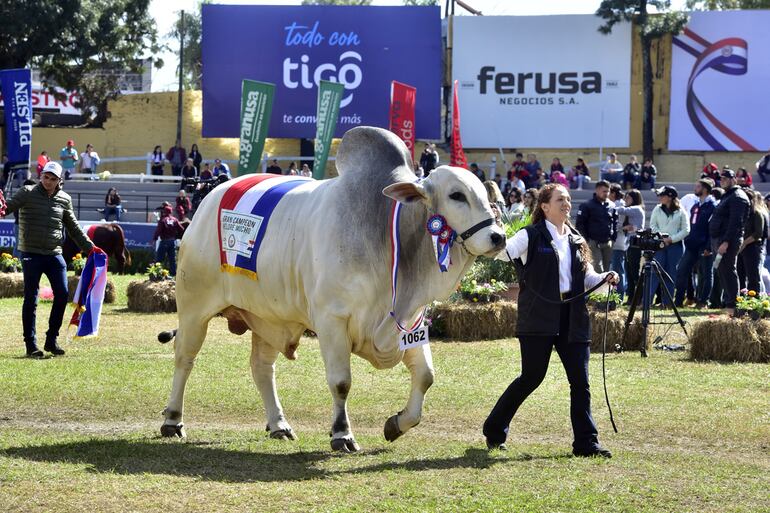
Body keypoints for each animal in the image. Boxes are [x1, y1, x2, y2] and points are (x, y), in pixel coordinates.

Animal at [156, 126, 504, 450]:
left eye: (487, 197)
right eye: (456, 195)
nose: (498, 237)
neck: (387, 234)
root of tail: (211, 195)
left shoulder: (409, 322)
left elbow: (426, 376)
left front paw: (397, 424)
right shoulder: (332, 320)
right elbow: (341, 383)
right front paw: (342, 433)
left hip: (268, 316)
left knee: (262, 368)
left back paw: (279, 424)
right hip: (194, 306)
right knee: (184, 357)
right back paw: (173, 419)